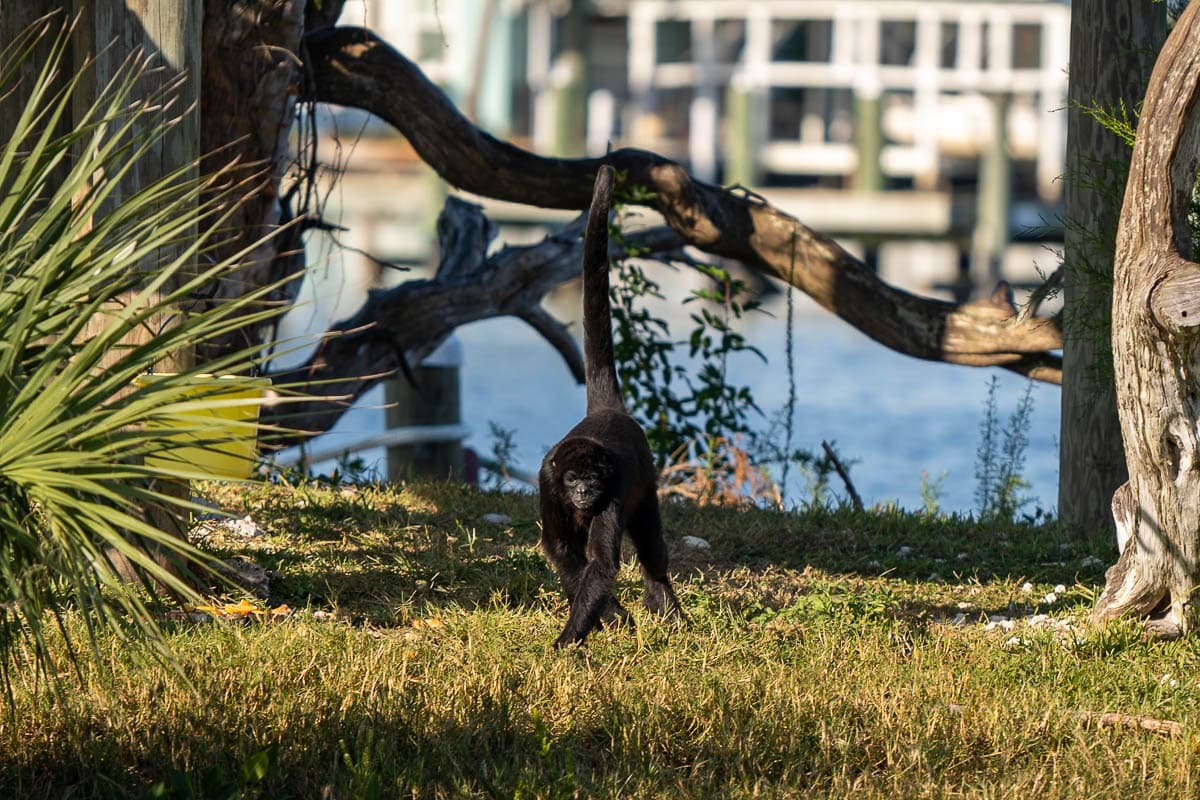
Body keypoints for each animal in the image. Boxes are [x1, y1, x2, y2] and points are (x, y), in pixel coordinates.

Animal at [538, 165, 683, 647]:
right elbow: (563, 552)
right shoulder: (547, 482)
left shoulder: (616, 486)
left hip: (646, 484)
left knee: (653, 547)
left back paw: (663, 599)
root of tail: (608, 412)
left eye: (592, 479)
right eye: (572, 478)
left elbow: (601, 563)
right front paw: (611, 617)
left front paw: (568, 640)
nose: (584, 491)